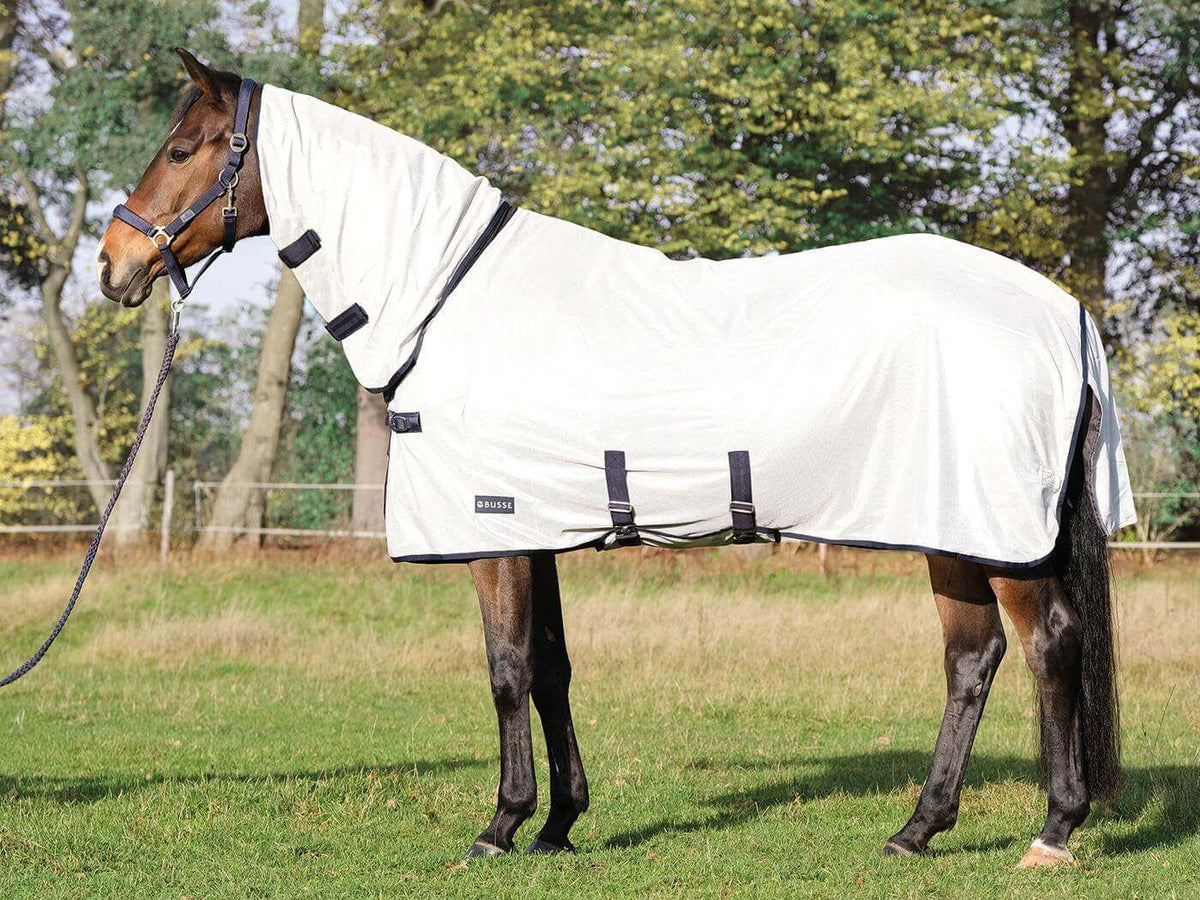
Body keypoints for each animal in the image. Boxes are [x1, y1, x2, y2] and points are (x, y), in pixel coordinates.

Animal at [98, 50, 1129, 868]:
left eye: (182, 150)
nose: (113, 264)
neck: (447, 299)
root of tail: (1062, 311)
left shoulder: (494, 531)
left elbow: (507, 670)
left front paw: (500, 827)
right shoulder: (542, 530)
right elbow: (552, 668)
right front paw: (559, 825)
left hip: (995, 533)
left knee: (1048, 644)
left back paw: (1053, 829)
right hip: (950, 528)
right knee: (972, 659)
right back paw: (918, 829)